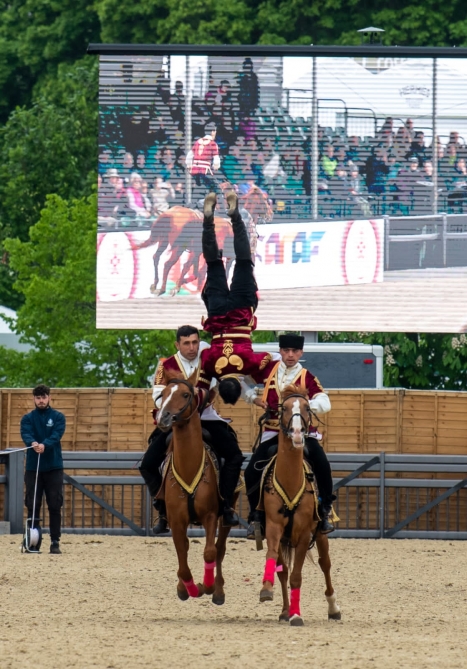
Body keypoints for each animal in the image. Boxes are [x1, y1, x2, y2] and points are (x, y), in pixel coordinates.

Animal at [156, 369, 232, 605]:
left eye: (185, 395)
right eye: (163, 394)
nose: (163, 418)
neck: (189, 468)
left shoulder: (210, 515)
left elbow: (210, 552)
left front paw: (207, 586)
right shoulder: (176, 520)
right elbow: (182, 557)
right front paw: (188, 588)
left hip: (226, 516)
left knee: (220, 549)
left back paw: (218, 591)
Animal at [258, 385, 341, 626]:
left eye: (306, 407)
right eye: (284, 408)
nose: (296, 432)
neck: (291, 480)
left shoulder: (304, 534)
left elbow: (297, 576)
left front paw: (296, 614)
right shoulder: (273, 527)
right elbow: (277, 564)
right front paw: (267, 591)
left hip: (320, 534)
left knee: (325, 564)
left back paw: (333, 609)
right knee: (284, 569)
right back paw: (285, 610)